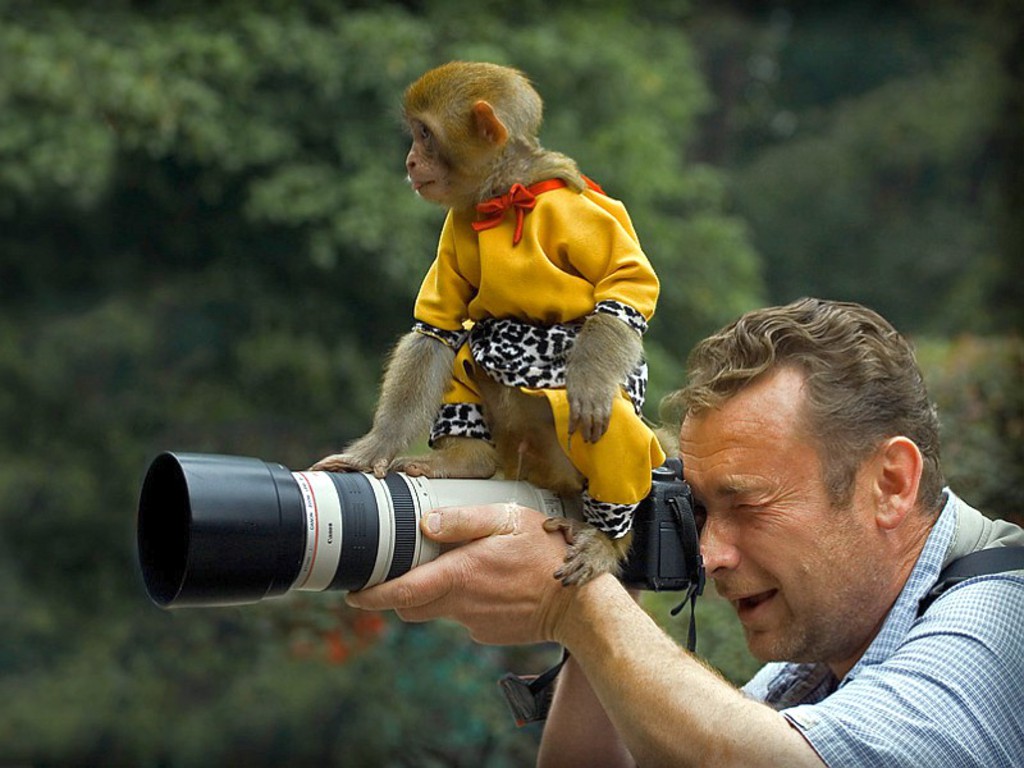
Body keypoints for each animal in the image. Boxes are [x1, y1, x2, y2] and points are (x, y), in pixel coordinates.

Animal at [313, 62, 665, 585]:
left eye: (424, 134)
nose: (411, 162)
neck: (504, 197)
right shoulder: (456, 226)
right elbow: (434, 333)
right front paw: (373, 449)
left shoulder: (577, 210)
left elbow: (623, 291)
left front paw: (589, 380)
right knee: (466, 347)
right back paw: (467, 460)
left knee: (609, 424)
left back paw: (607, 535)